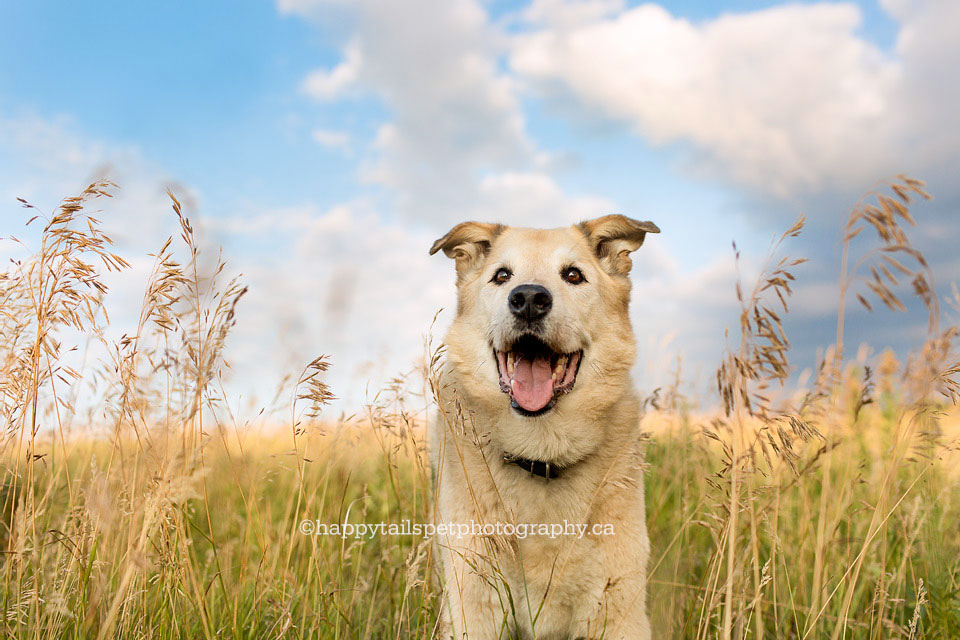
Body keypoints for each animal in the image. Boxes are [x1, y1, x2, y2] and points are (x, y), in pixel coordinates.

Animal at [430, 216, 660, 640]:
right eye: (502, 276)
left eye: (573, 275)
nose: (528, 300)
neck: (541, 454)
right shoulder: (474, 605)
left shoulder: (619, 609)